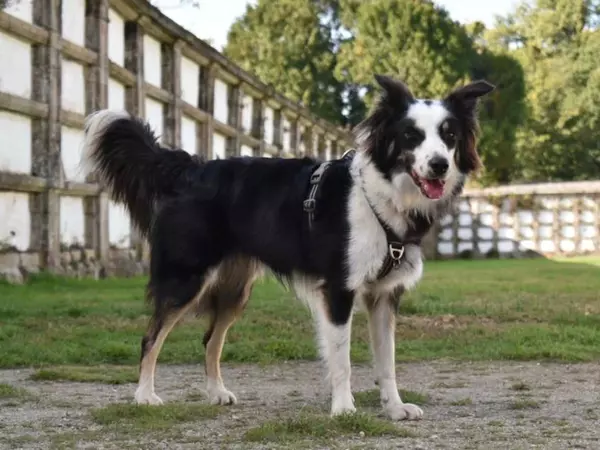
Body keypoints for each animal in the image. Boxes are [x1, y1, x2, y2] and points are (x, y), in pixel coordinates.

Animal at [79, 74, 492, 422]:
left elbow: (387, 362)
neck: (383, 195)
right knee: (151, 337)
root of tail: (190, 169)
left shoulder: (385, 296)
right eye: (410, 135)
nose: (439, 165)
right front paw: (343, 409)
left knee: (210, 339)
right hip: (186, 279)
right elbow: (342, 359)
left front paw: (394, 408)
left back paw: (216, 393)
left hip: (235, 290)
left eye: (449, 135)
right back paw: (144, 397)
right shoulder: (338, 291)